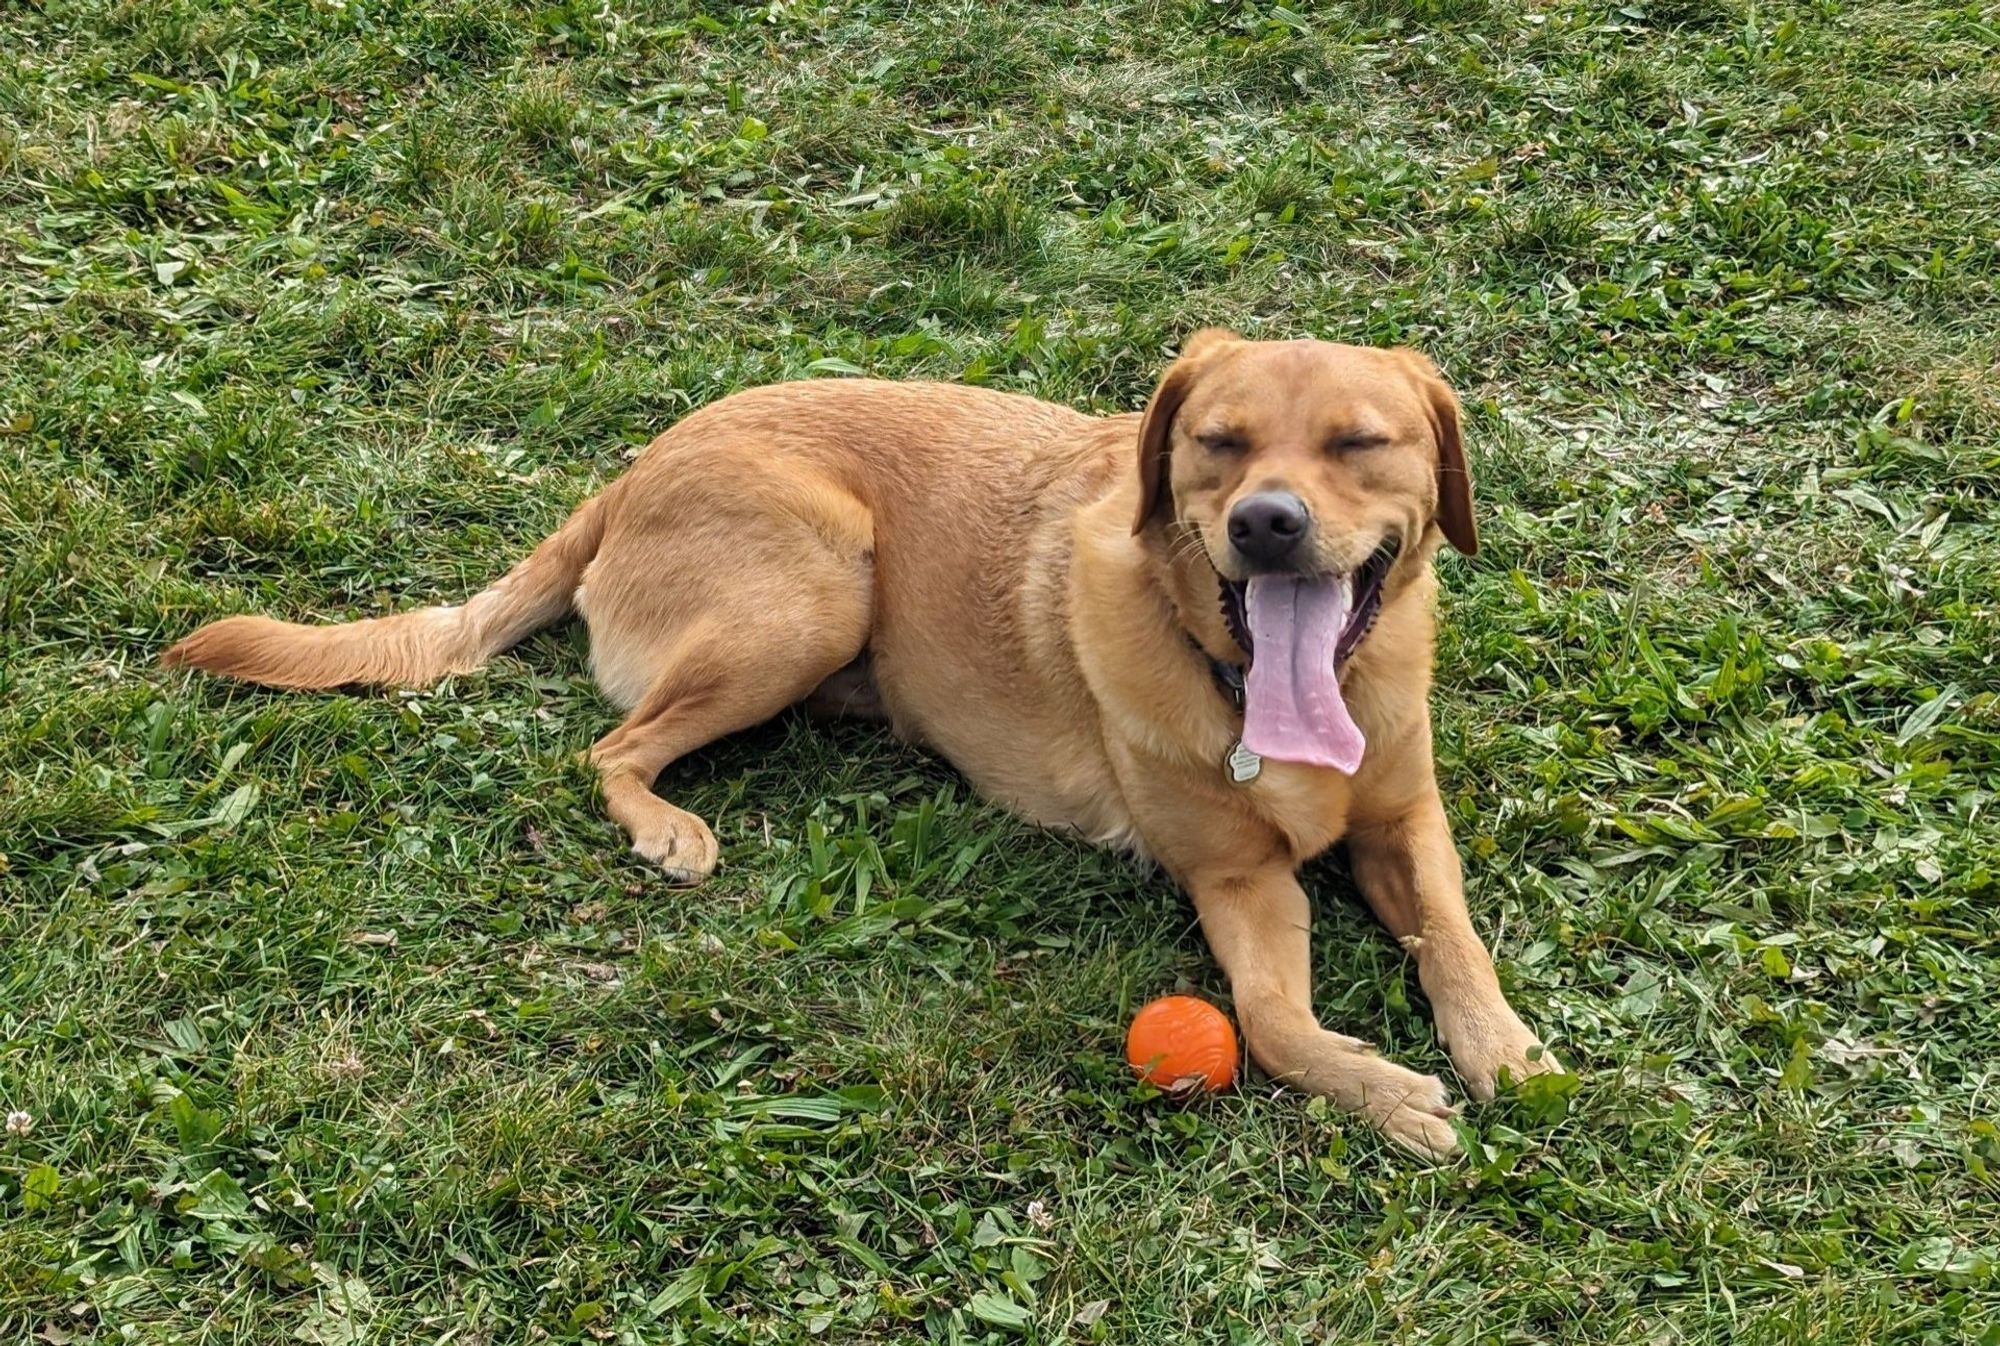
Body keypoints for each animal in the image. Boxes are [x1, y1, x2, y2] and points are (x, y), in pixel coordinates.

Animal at [164, 330, 1560, 1152]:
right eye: (1215, 444)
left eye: (1358, 443)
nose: (1266, 523)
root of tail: (630, 471)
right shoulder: (1233, 875)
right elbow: (1269, 1021)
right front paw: (1383, 1089)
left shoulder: (1404, 819)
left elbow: (1454, 937)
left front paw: (1501, 1043)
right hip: (815, 585)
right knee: (610, 749)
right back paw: (665, 824)